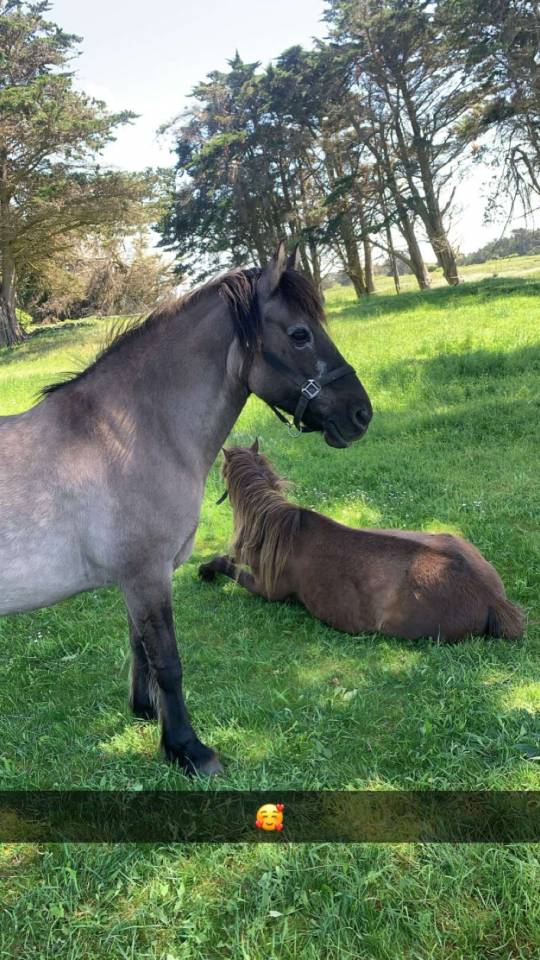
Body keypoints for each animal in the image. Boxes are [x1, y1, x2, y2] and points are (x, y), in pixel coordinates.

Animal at [0, 242, 372, 775]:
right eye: (300, 334)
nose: (361, 413)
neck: (124, 438)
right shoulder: (147, 573)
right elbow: (168, 661)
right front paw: (187, 748)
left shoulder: (136, 579)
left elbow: (138, 646)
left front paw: (145, 710)